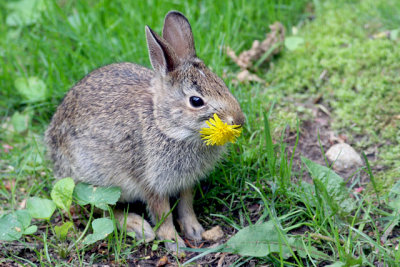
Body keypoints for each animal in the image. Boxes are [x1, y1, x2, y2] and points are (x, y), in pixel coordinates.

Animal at [43, 10, 244, 251]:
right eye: (196, 101)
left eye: (222, 84)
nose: (239, 120)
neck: (165, 124)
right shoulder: (152, 183)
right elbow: (163, 215)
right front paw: (175, 244)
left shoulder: (185, 182)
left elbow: (186, 206)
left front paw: (195, 231)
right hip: (92, 178)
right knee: (100, 207)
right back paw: (138, 227)